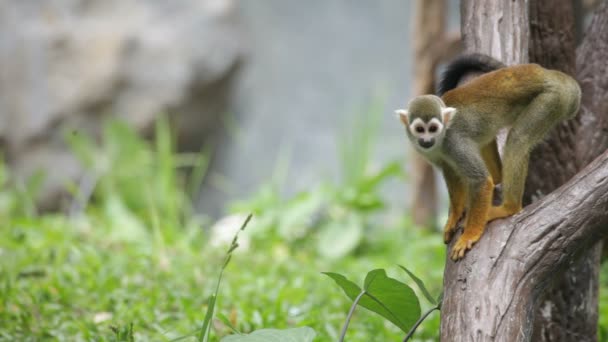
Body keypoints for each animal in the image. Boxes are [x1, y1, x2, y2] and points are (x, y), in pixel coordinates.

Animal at [396, 54, 580, 260]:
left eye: (433, 128)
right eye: (420, 129)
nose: (426, 140)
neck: (441, 140)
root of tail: (549, 73)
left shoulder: (454, 142)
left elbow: (481, 181)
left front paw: (469, 235)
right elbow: (450, 171)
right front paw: (455, 215)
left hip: (552, 99)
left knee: (518, 140)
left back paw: (509, 207)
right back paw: (498, 176)